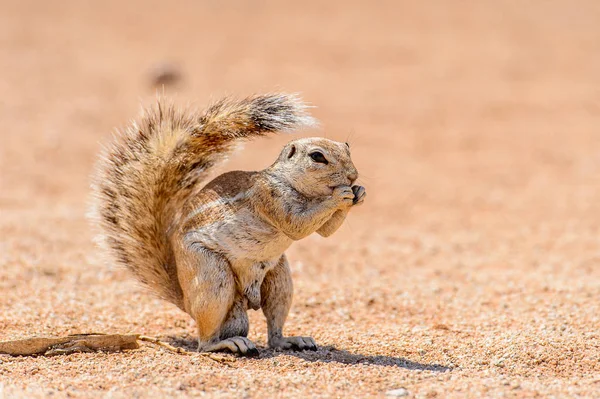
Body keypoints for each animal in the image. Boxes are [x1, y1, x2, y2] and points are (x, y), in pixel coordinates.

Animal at [90, 94, 366, 356]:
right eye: (317, 156)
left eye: (348, 147)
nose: (352, 175)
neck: (296, 187)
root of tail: (186, 300)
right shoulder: (270, 199)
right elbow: (298, 225)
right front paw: (340, 195)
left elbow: (325, 231)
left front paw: (359, 193)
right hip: (212, 276)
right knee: (205, 341)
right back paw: (226, 344)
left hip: (279, 279)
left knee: (273, 331)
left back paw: (291, 340)